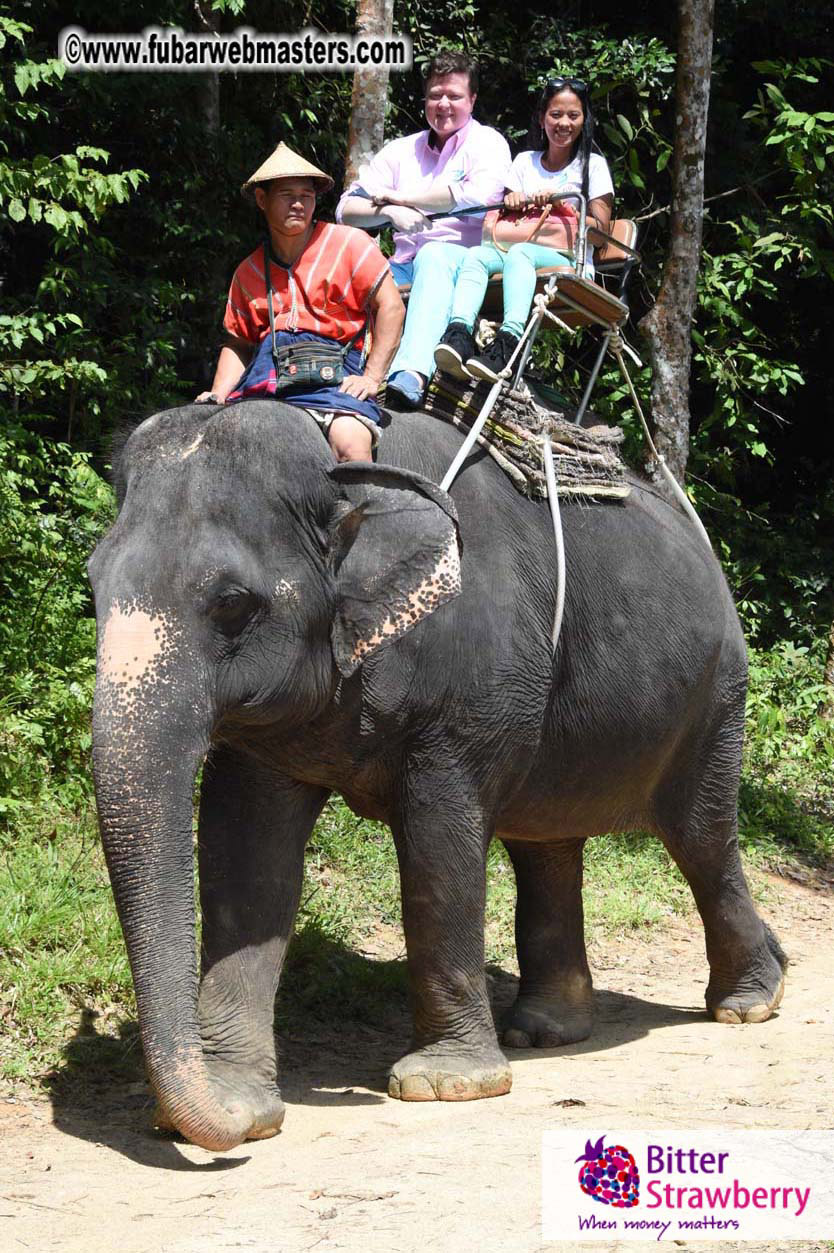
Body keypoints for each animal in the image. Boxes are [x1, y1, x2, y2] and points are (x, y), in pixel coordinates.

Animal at [88, 399, 786, 1153]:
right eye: (93, 585)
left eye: (233, 604)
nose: (214, 1120)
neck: (347, 478)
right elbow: (246, 853)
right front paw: (243, 1108)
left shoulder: (468, 699)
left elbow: (439, 843)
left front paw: (445, 1084)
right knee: (547, 842)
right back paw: (547, 1030)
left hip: (717, 696)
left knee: (702, 838)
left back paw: (750, 1003)